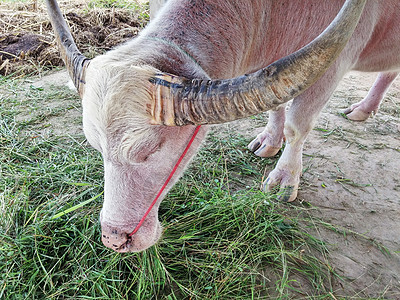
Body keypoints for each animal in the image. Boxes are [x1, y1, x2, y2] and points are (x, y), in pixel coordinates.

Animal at [46, 0, 396, 252]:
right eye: (96, 147)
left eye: (149, 150)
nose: (115, 239)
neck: (271, 14)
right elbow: (276, 104)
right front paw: (269, 141)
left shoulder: (331, 67)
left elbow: (298, 126)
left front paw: (285, 179)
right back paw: (364, 109)